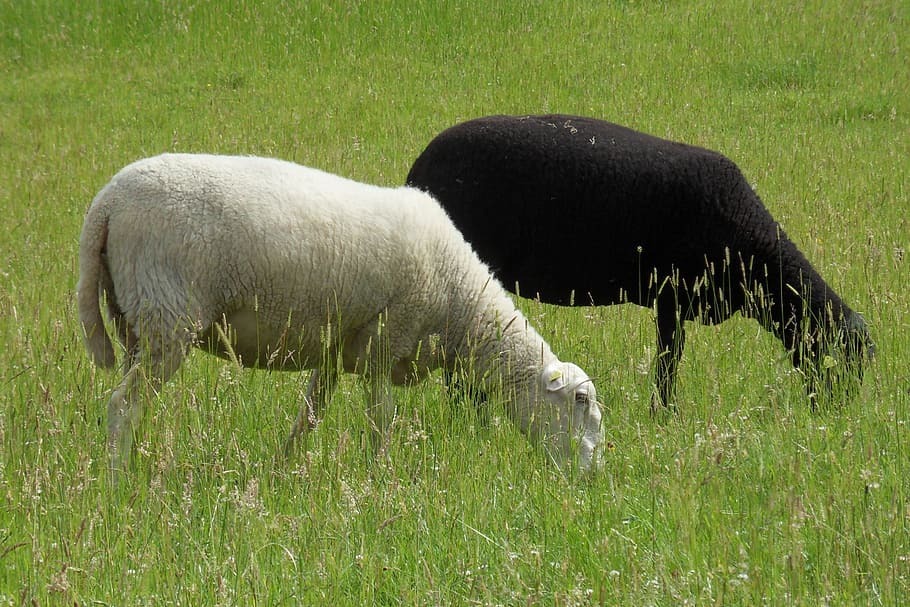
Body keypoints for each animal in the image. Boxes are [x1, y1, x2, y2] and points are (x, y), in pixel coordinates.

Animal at [77, 153, 604, 477]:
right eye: (580, 402)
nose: (591, 479)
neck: (462, 306)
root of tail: (106, 202)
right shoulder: (385, 344)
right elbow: (381, 423)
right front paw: (380, 480)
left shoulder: (336, 352)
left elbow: (309, 417)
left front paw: (281, 472)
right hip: (168, 317)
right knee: (122, 406)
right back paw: (118, 486)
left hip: (136, 321)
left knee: (132, 403)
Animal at [406, 114, 873, 410]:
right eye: (842, 358)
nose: (838, 414)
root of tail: (418, 170)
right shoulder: (671, 295)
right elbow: (669, 359)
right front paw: (663, 414)